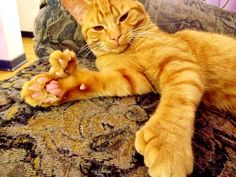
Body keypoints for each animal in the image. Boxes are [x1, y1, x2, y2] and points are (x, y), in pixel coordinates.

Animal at [20, 0, 236, 176]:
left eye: (123, 17)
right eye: (99, 27)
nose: (115, 36)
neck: (130, 50)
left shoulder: (180, 63)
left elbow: (176, 102)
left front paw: (167, 143)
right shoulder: (134, 78)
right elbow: (98, 82)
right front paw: (55, 87)